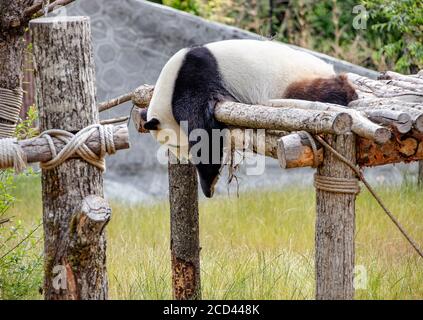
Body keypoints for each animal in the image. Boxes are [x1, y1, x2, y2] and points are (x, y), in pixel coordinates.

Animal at [145, 38, 358, 198]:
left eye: (174, 145)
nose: (183, 158)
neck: (168, 86)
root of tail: (328, 69)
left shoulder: (194, 78)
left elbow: (203, 131)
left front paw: (209, 184)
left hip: (288, 80)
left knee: (315, 91)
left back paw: (346, 92)